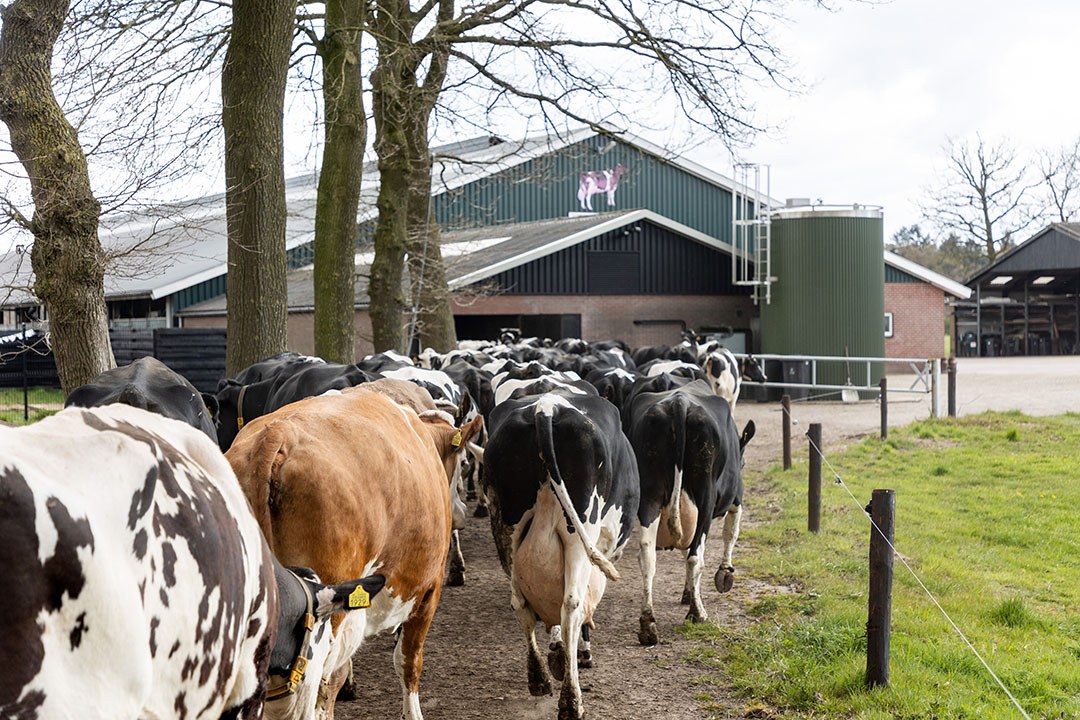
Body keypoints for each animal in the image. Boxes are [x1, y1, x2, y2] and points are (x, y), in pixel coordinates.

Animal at [483, 388, 639, 720]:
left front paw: (557, 653)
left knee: (520, 603)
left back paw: (538, 677)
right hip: (579, 532)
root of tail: (546, 407)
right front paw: (579, 653)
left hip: (506, 529)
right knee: (571, 605)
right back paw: (571, 701)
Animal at [626, 379, 760, 643]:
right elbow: (731, 533)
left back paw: (648, 624)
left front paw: (689, 591)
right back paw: (697, 613)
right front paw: (724, 574)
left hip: (649, 495)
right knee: (696, 555)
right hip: (705, 496)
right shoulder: (736, 497)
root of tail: (679, 402)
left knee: (648, 557)